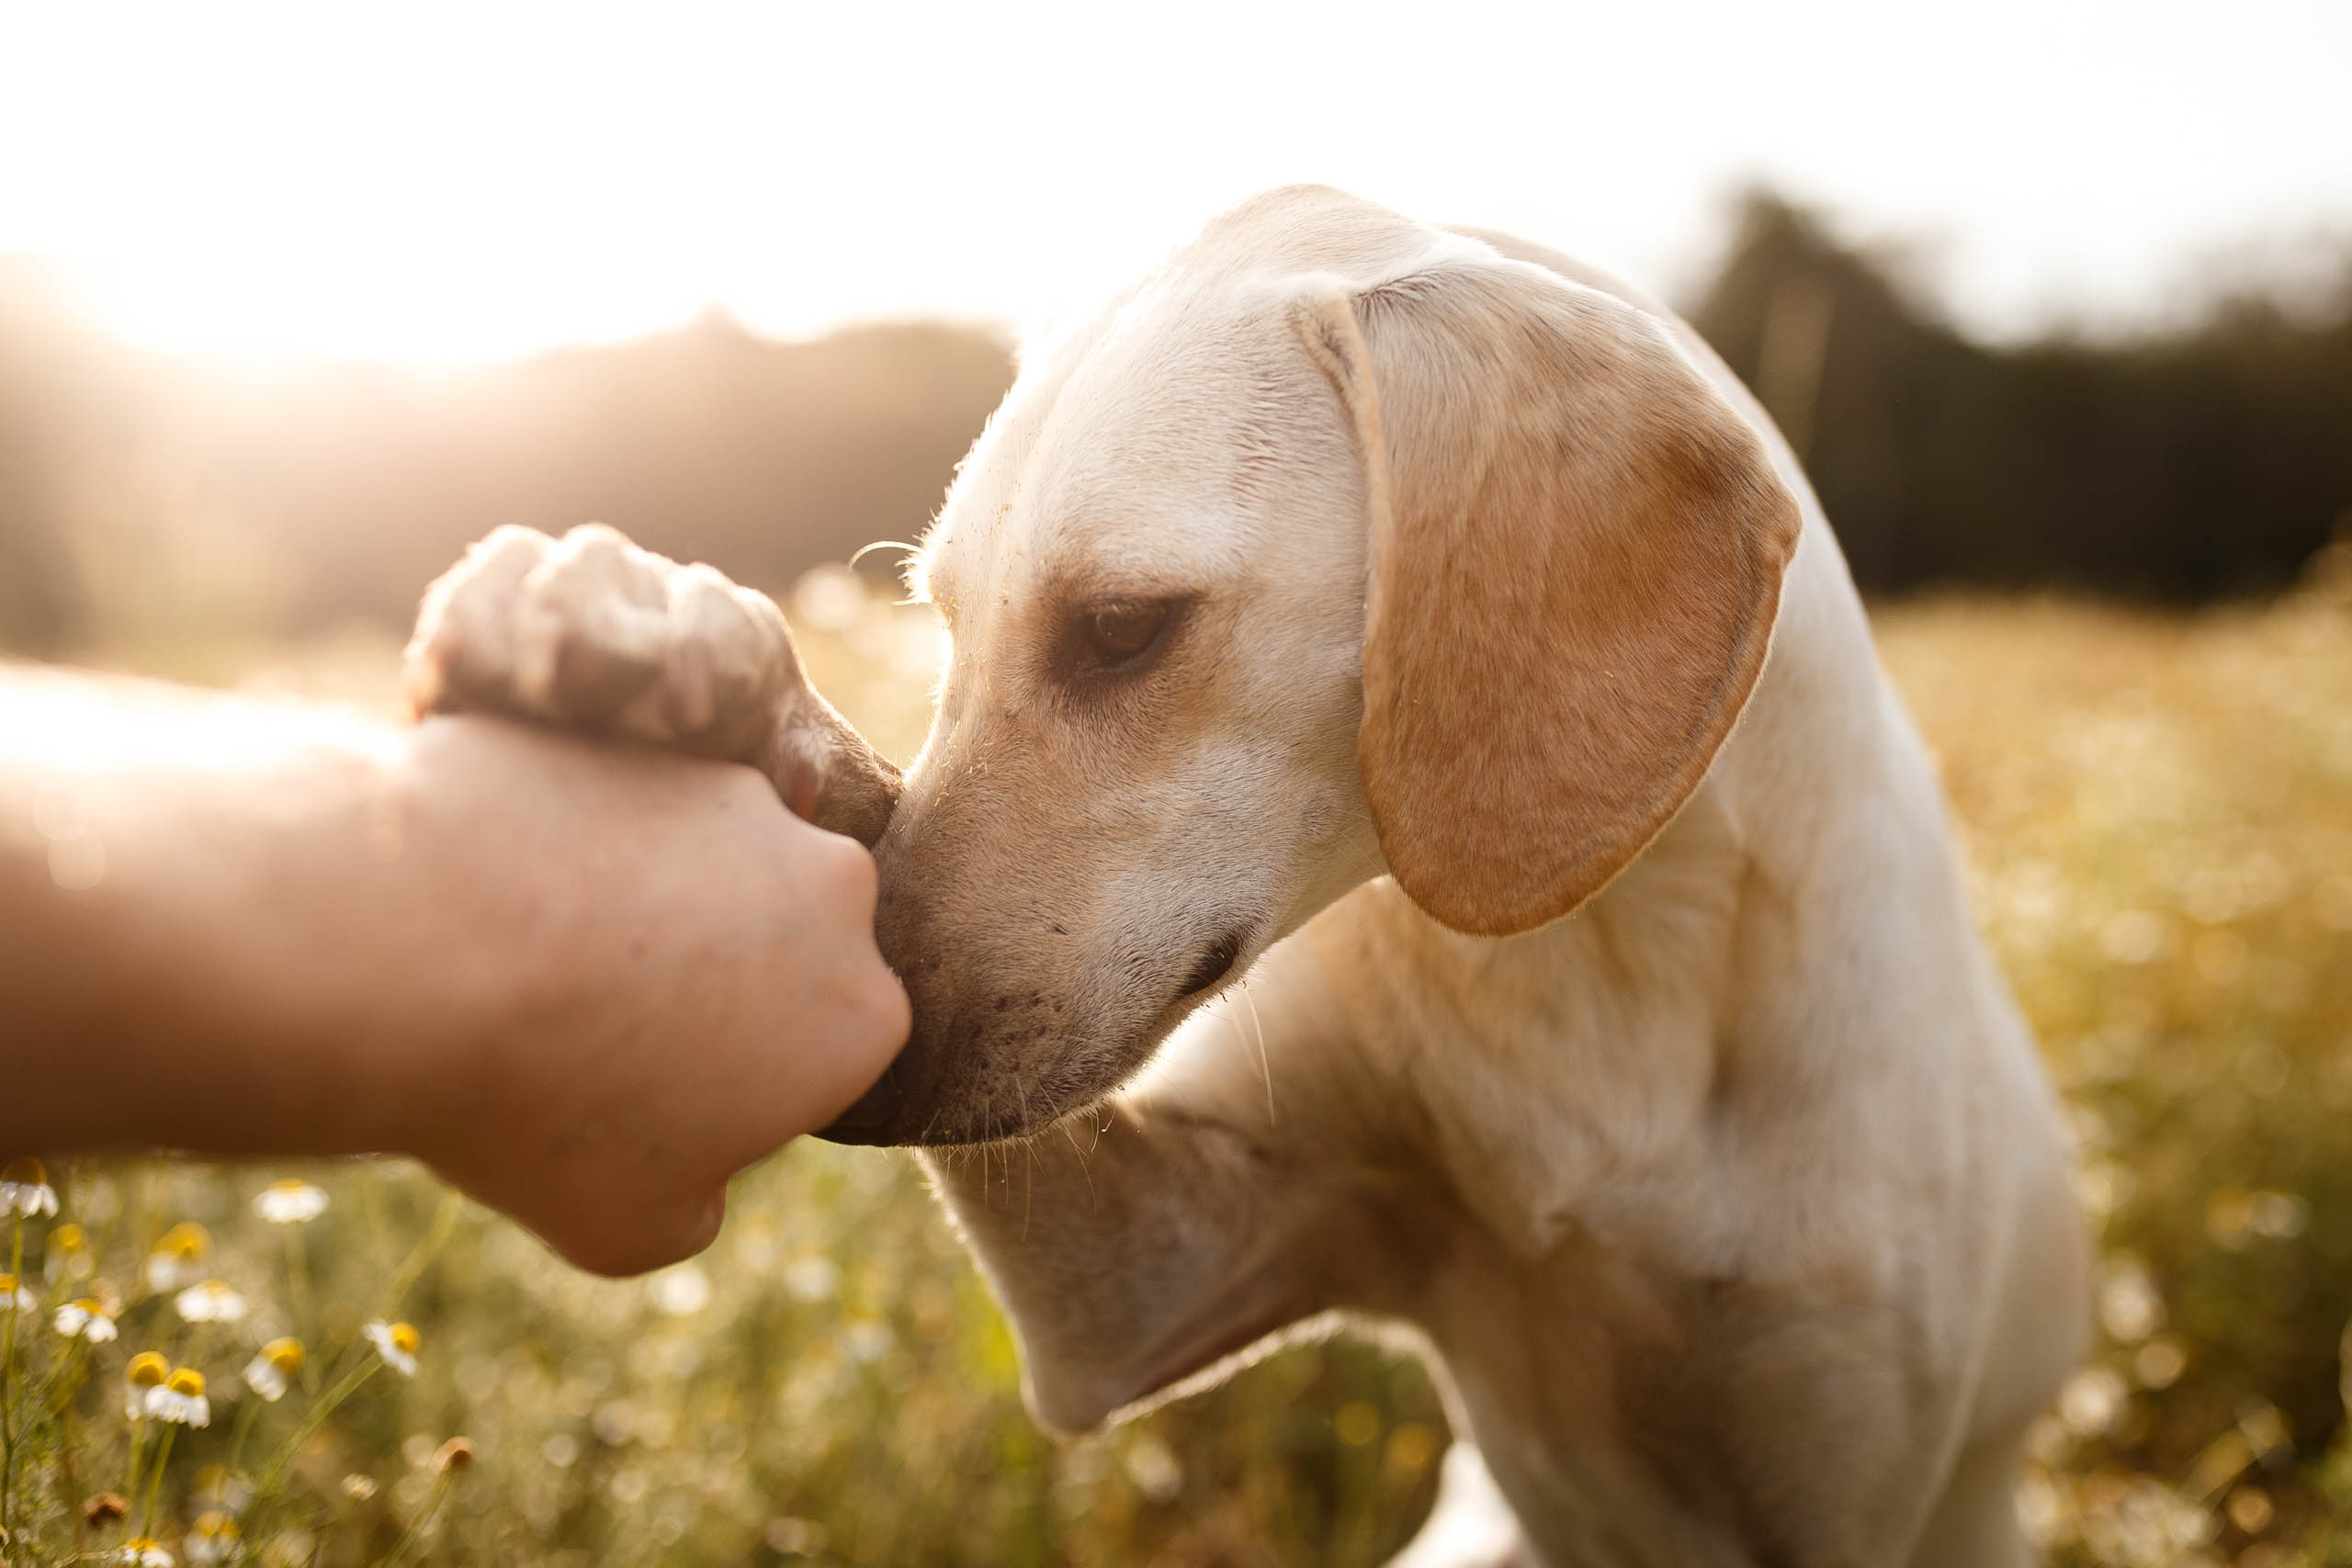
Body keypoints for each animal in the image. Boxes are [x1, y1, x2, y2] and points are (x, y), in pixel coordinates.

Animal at [409, 186, 2098, 1568]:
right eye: (941, 622)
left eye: (1121, 628)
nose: (863, 1082)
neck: (1588, 967)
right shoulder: (1144, 1288)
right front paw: (653, 636)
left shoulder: (1830, 1474)